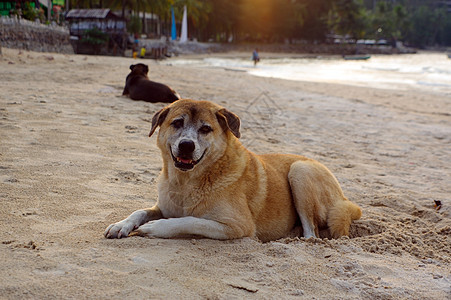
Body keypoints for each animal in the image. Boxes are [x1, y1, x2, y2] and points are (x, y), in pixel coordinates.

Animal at [104, 99, 362, 241]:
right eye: (177, 123)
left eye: (205, 129)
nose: (186, 145)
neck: (186, 182)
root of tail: (346, 199)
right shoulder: (162, 207)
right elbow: (139, 211)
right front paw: (121, 224)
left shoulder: (238, 225)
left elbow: (190, 221)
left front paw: (156, 228)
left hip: (300, 171)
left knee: (312, 233)